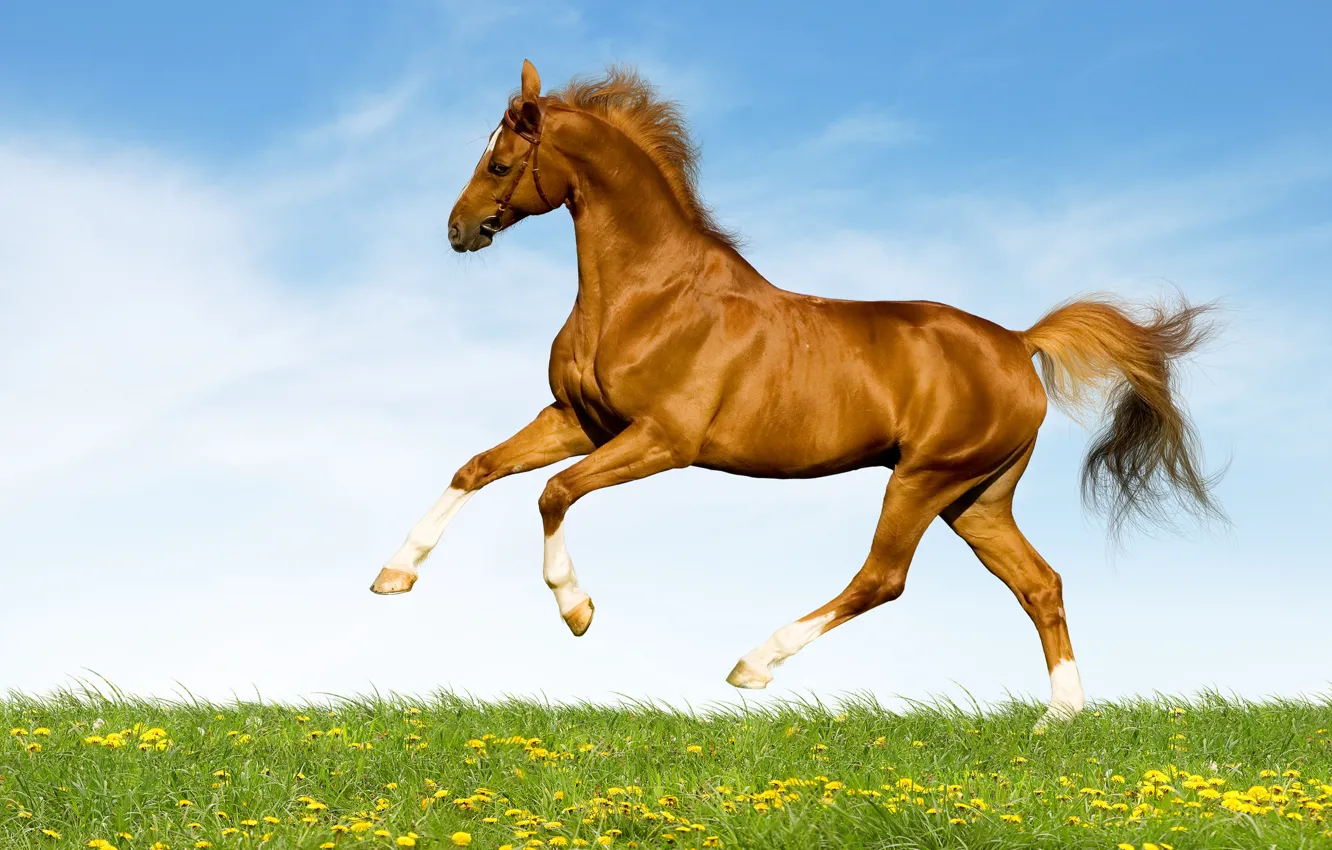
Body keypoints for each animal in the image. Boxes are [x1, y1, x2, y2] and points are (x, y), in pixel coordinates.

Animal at [370, 60, 1221, 728]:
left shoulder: (661, 441)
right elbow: (478, 467)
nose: (458, 230)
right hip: (977, 497)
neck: (648, 295)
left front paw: (577, 611)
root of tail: (1018, 342)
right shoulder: (579, 420)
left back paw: (753, 665)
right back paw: (1060, 716)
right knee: (1040, 584)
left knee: (883, 579)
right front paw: (393, 576)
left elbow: (552, 493)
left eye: (502, 164)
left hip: (925, 479)